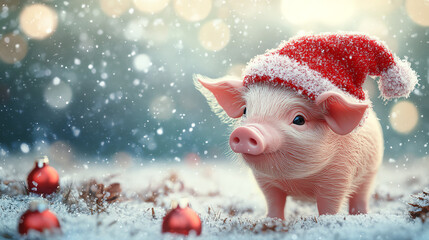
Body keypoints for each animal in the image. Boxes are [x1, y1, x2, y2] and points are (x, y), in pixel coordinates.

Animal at [196, 76, 382, 218]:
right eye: (245, 111)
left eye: (299, 119)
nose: (245, 131)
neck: (295, 179)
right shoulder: (264, 180)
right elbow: (273, 201)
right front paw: (272, 220)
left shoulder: (338, 175)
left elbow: (329, 204)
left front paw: (326, 222)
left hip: (371, 172)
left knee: (361, 195)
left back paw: (361, 215)